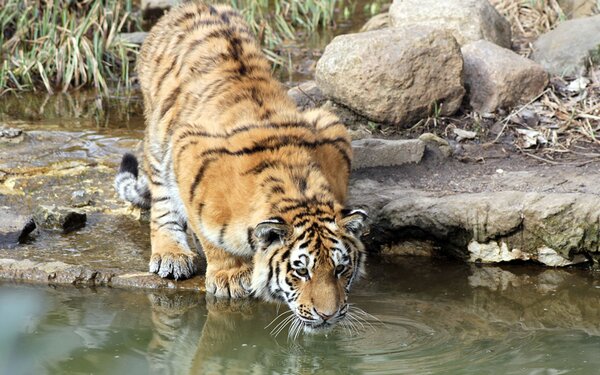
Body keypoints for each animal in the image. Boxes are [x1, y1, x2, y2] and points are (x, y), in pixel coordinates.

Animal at [113, 2, 368, 332]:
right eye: (301, 272)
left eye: (341, 269)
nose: (329, 314)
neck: (297, 188)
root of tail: (190, 6)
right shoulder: (187, 148)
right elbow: (210, 238)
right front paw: (229, 276)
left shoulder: (331, 127)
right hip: (159, 139)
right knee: (161, 203)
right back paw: (171, 254)